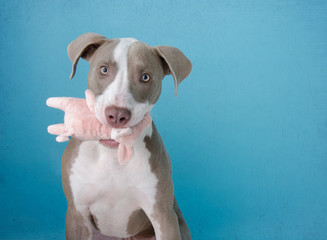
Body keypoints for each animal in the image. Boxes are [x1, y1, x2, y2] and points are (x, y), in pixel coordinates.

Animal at [62, 32, 192, 240]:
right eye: (104, 69)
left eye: (145, 77)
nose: (116, 114)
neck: (114, 154)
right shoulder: (77, 216)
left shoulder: (163, 217)